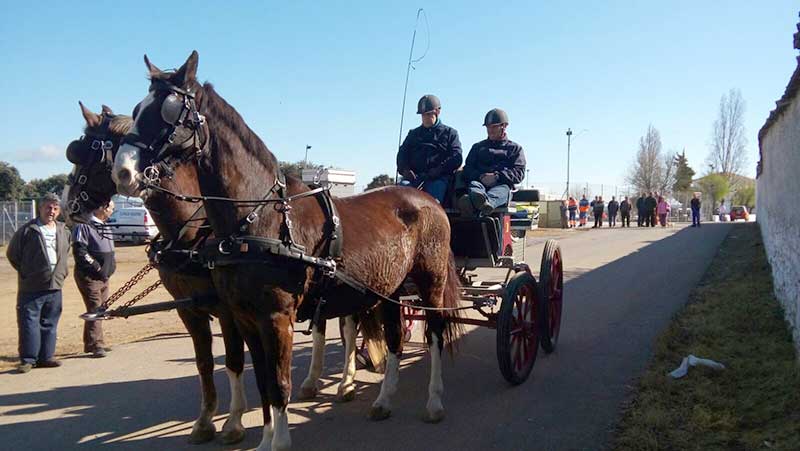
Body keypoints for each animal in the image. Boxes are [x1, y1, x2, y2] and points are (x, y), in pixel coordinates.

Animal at [112, 50, 462, 451]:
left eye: (170, 111)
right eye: (137, 109)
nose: (122, 172)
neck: (256, 219)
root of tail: (427, 199)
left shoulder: (275, 318)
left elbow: (279, 383)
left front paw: (277, 440)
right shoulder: (244, 317)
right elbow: (263, 382)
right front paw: (264, 438)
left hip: (430, 283)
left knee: (434, 335)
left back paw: (434, 402)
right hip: (389, 290)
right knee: (393, 341)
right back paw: (384, 400)